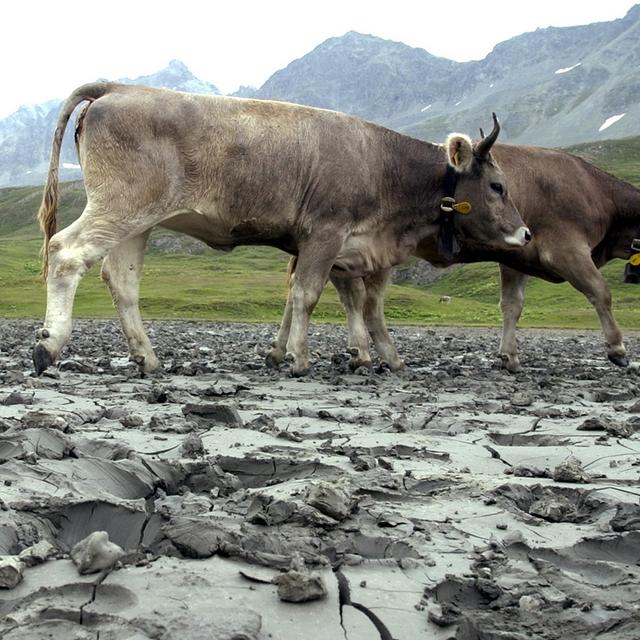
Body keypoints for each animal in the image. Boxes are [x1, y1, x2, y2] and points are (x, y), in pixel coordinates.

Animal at [32, 82, 528, 378]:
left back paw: (147, 357)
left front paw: (284, 352)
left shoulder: (325, 247)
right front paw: (299, 359)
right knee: (66, 252)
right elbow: (308, 295)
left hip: (138, 221)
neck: (382, 164)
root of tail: (121, 88)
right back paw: (49, 346)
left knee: (121, 280)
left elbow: (300, 298)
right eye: (498, 186)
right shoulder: (326, 233)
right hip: (119, 206)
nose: (525, 234)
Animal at [272, 140, 640, 370]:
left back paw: (282, 351)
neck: (598, 193)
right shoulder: (566, 248)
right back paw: (360, 353)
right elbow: (601, 292)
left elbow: (512, 306)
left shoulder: (517, 257)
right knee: (357, 297)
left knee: (308, 289)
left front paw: (509, 357)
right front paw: (618, 349)